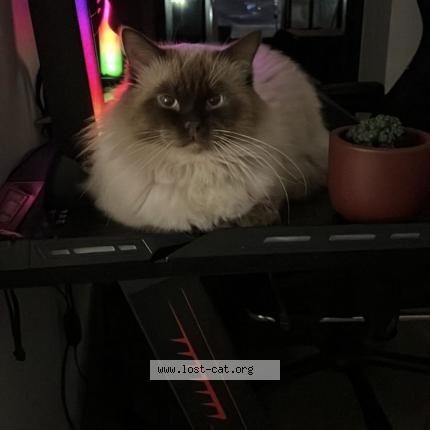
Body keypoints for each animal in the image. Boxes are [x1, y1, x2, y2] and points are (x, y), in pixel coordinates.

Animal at [81, 27, 328, 233]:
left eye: (214, 100)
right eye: (168, 101)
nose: (193, 125)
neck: (194, 168)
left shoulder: (275, 185)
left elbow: (259, 210)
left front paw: (240, 220)